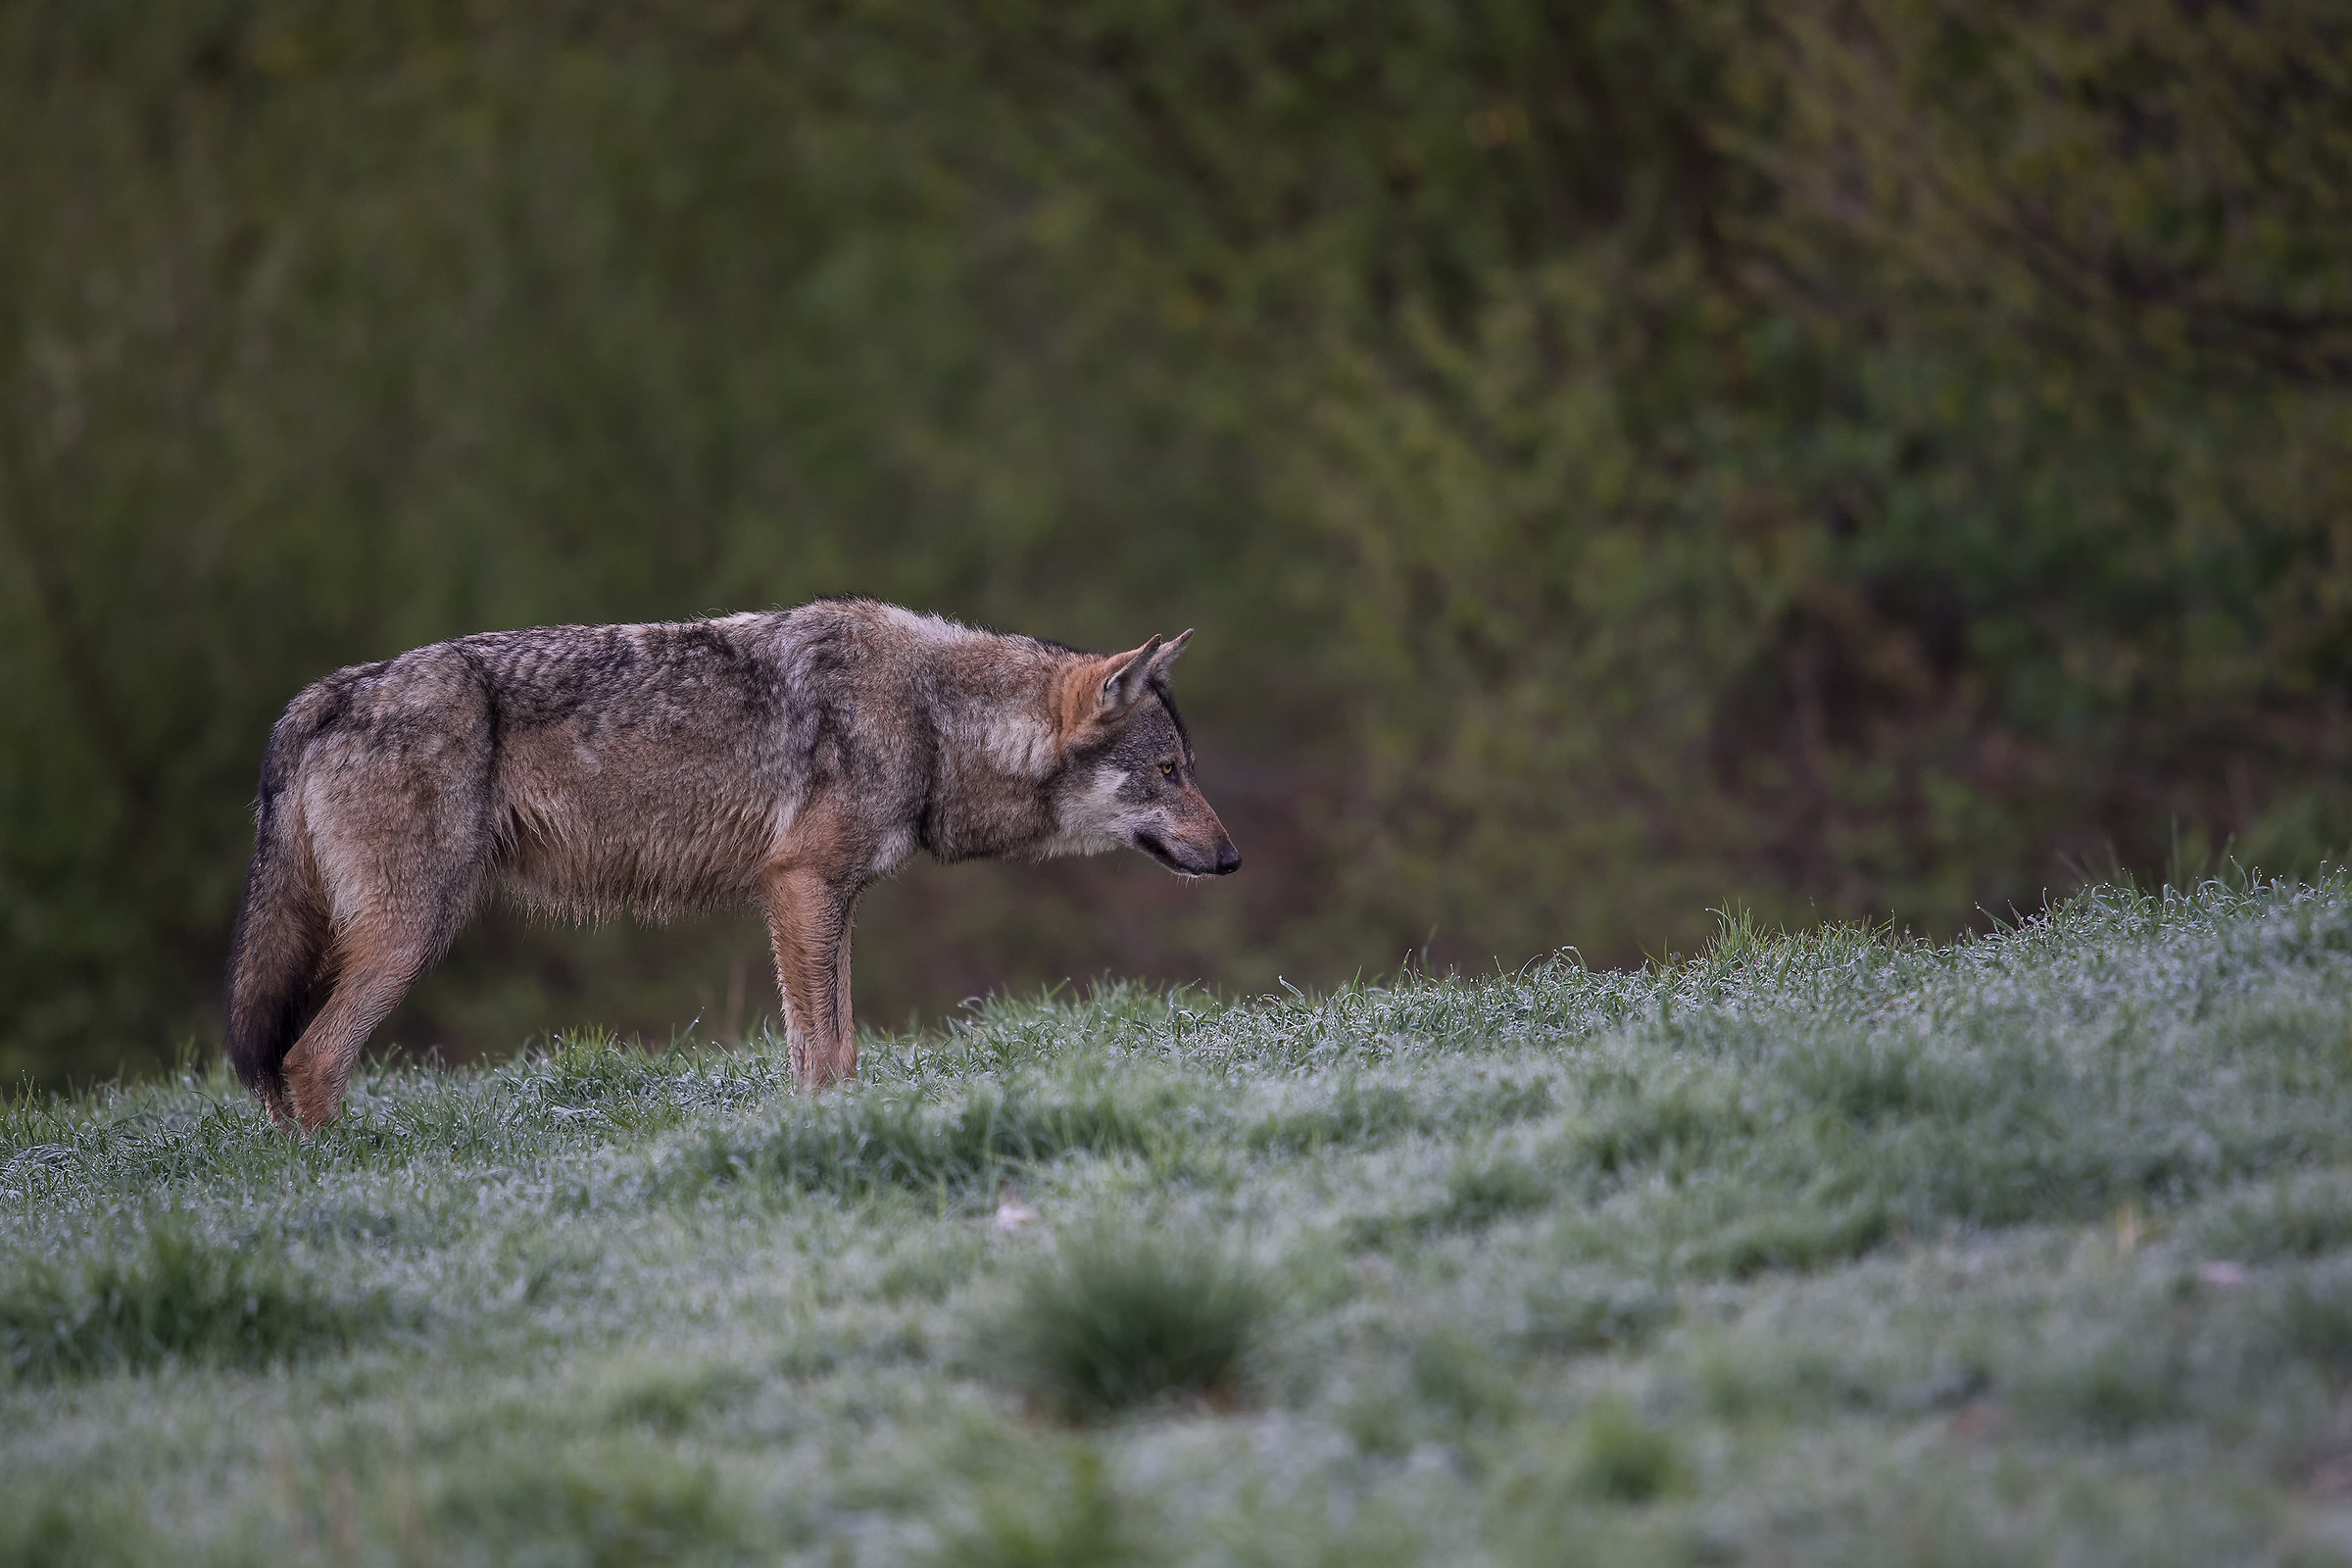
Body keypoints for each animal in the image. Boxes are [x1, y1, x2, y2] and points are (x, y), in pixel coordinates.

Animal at [225, 599, 1239, 1129]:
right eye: (1169, 772)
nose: (1233, 858)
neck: (931, 716)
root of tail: (320, 695)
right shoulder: (800, 888)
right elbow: (825, 1046)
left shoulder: (824, 900)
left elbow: (830, 1044)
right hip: (411, 934)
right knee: (311, 1059)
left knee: (287, 1066)